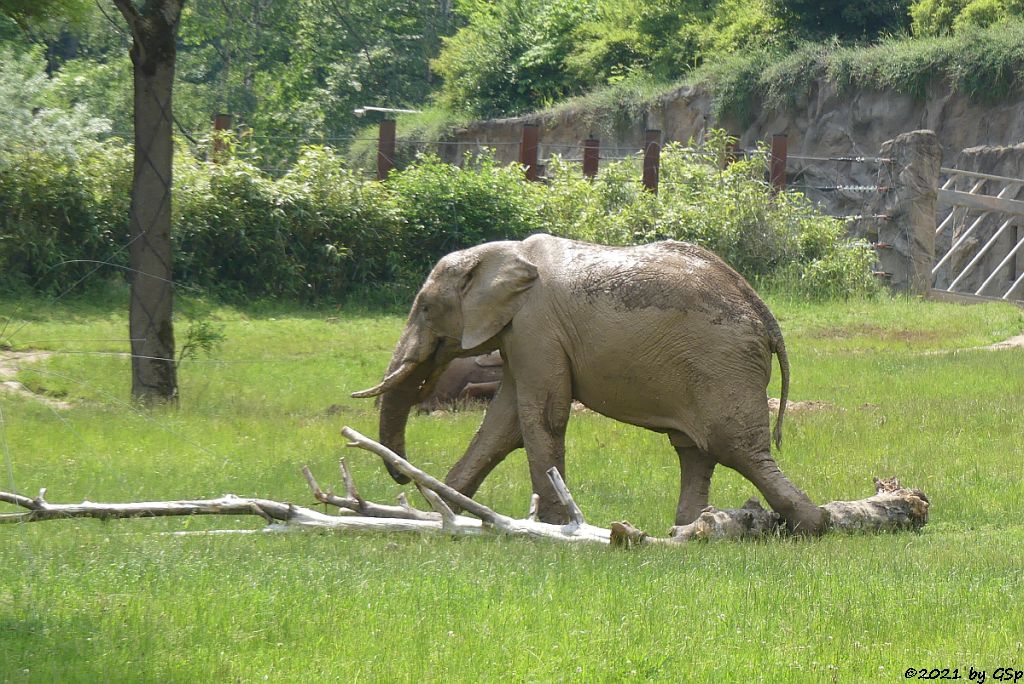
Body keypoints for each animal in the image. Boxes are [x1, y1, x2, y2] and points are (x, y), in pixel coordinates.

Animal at [356, 235, 827, 532]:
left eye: (425, 308)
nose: (403, 481)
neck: (503, 253)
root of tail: (765, 316)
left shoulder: (536, 329)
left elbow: (541, 416)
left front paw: (554, 526)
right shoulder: (521, 336)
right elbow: (503, 425)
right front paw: (447, 510)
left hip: (722, 362)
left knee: (736, 449)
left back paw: (813, 526)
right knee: (696, 450)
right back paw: (688, 528)